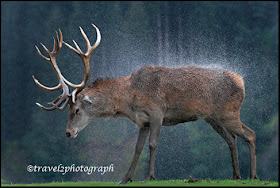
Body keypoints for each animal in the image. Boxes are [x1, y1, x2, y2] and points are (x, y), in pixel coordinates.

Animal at [32, 23, 258, 184]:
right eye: (68, 110)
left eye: (77, 109)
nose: (68, 133)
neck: (127, 101)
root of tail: (242, 81)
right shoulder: (143, 122)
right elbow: (137, 148)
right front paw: (125, 178)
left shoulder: (157, 112)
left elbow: (152, 144)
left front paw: (150, 176)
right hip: (213, 118)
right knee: (232, 139)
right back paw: (236, 175)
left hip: (229, 113)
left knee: (250, 134)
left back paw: (252, 175)